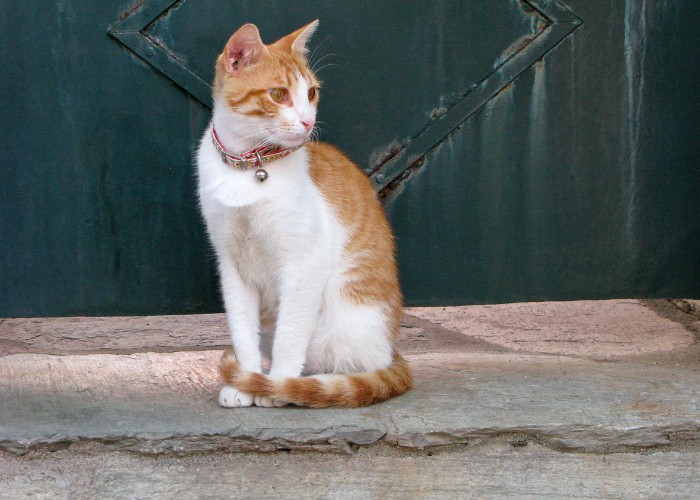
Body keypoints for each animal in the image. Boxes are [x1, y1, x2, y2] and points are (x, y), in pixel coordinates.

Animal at [196, 21, 410, 408]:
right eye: (278, 94)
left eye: (310, 92)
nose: (309, 121)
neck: (248, 167)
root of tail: (391, 347)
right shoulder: (232, 265)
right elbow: (241, 328)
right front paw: (246, 382)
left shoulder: (304, 262)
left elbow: (290, 333)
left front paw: (278, 385)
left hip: (347, 322)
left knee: (361, 369)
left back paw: (316, 384)